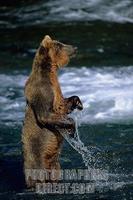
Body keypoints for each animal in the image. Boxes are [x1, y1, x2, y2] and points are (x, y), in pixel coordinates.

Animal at [22, 35, 83, 188]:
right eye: (60, 44)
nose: (75, 47)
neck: (50, 71)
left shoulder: (56, 88)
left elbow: (63, 105)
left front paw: (78, 102)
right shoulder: (43, 90)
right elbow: (46, 115)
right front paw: (72, 130)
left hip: (54, 163)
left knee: (55, 171)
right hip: (36, 157)